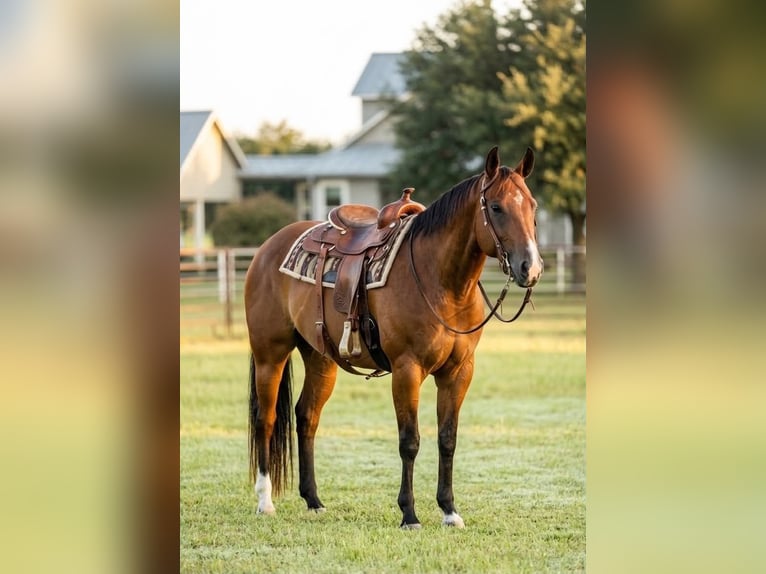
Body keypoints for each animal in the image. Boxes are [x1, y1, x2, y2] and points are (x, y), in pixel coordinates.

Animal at [244, 146, 543, 529]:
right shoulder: (406, 369)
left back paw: (313, 500)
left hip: (321, 358)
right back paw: (265, 501)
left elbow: (448, 439)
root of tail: (268, 247)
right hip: (271, 354)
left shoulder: (459, 371)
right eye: (496, 207)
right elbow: (409, 441)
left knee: (307, 416)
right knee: (265, 419)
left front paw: (449, 511)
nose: (530, 268)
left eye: (532, 206)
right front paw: (409, 514)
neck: (440, 280)